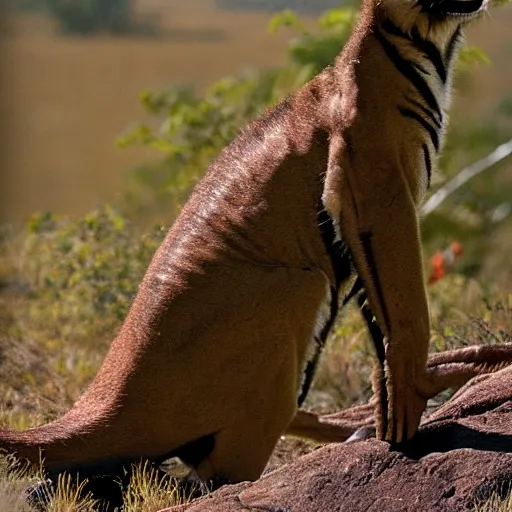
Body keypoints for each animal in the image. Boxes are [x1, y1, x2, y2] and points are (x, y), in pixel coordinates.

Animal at [1, 0, 496, 500]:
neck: (428, 45)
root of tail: (104, 399)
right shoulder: (380, 199)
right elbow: (409, 315)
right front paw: (422, 402)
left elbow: (384, 330)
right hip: (300, 288)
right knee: (213, 475)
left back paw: (357, 424)